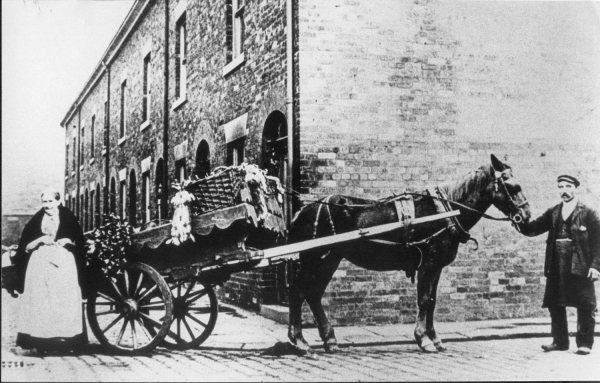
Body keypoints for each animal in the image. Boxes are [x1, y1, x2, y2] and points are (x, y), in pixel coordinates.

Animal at [288, 154, 532, 354]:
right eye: (512, 186)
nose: (526, 215)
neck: (444, 213)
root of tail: (303, 210)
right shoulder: (428, 263)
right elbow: (423, 300)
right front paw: (423, 339)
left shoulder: (436, 266)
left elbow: (432, 300)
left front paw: (435, 339)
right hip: (318, 258)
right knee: (300, 292)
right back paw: (299, 341)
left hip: (329, 259)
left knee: (312, 294)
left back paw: (328, 340)